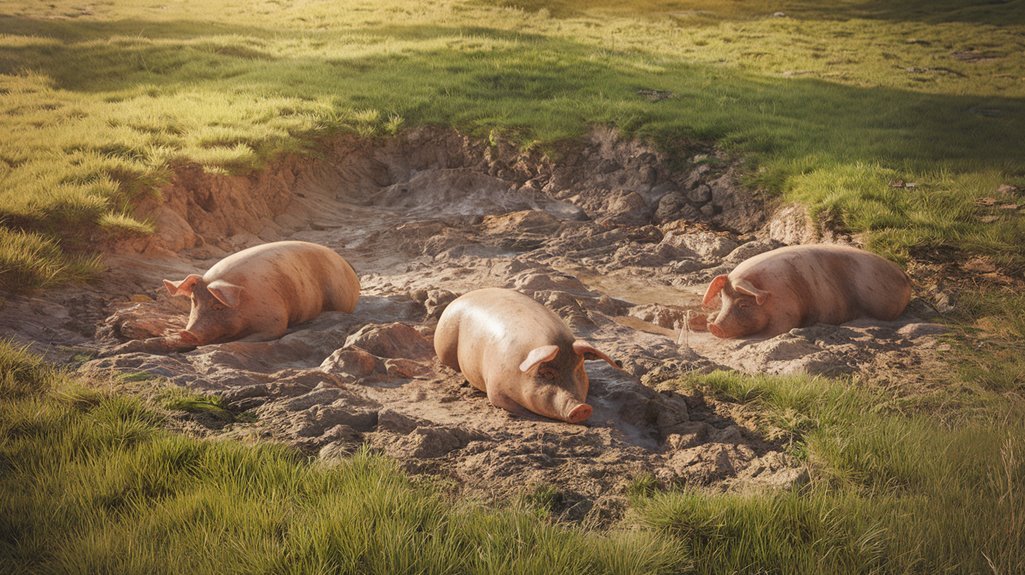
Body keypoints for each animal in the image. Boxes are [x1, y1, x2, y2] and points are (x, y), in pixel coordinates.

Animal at [692, 244, 911, 339]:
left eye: (744, 304)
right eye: (723, 300)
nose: (715, 327)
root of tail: (905, 275)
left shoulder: (787, 311)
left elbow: (777, 330)